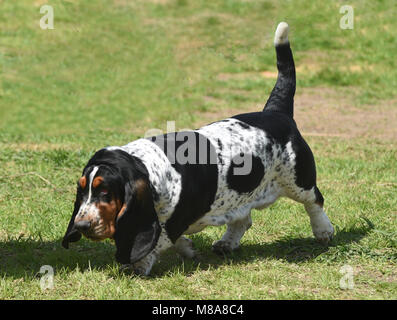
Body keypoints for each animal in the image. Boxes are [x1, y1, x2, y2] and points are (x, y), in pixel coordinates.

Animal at [62, 23, 334, 276]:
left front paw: (138, 266)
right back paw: (227, 243)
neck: (147, 168)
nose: (82, 226)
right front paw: (187, 248)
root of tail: (275, 112)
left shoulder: (169, 224)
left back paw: (323, 231)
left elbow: (156, 243)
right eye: (82, 189)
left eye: (105, 192)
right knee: (243, 219)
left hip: (298, 180)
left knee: (314, 201)